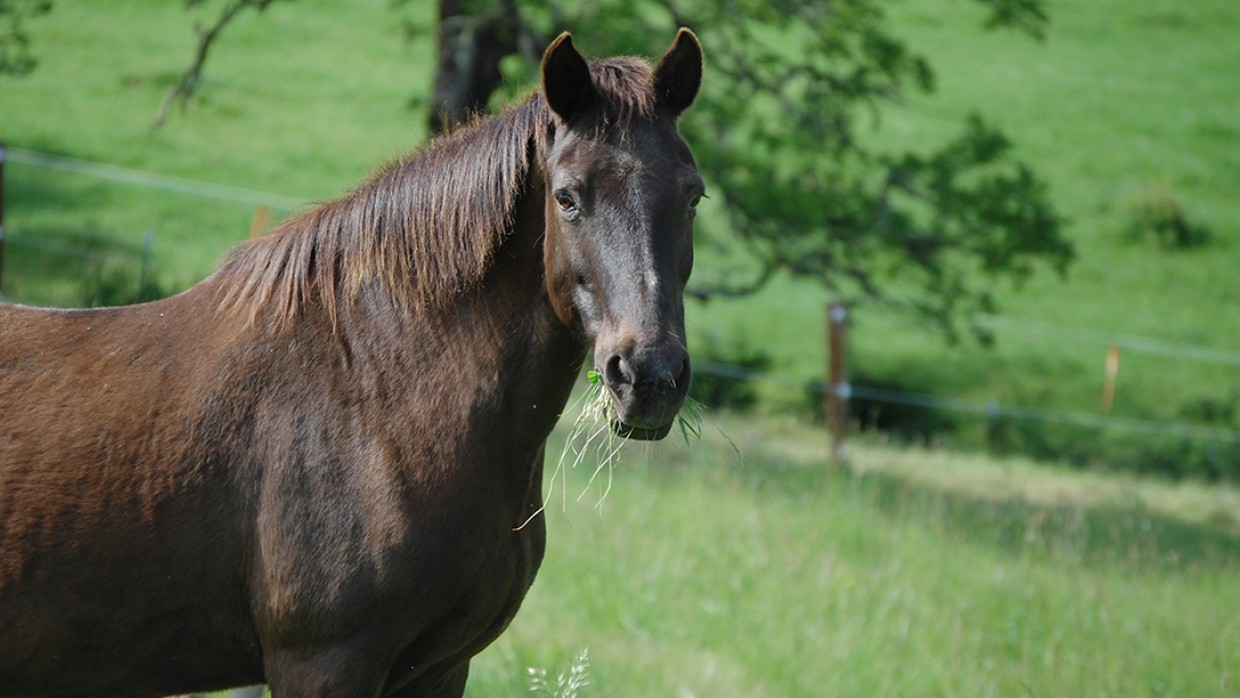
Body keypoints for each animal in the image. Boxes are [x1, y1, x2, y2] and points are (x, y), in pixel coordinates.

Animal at [0, 29, 703, 697]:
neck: (378, 394)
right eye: (566, 197)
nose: (649, 377)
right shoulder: (324, 663)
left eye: (693, 197)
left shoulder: (440, 669)